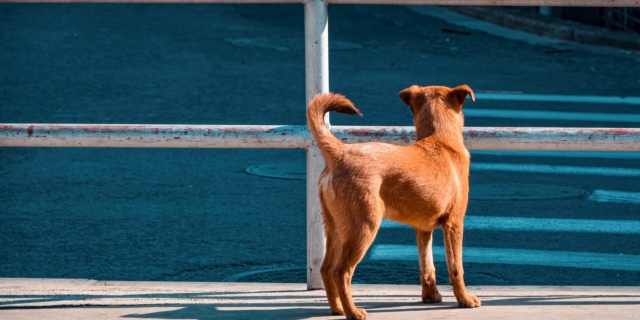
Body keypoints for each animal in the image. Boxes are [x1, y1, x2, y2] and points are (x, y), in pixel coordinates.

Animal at [306, 84, 480, 318]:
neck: (440, 139)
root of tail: (340, 152)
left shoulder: (423, 229)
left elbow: (427, 266)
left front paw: (430, 296)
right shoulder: (454, 223)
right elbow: (456, 267)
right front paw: (465, 300)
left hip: (336, 227)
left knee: (326, 268)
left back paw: (338, 309)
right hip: (364, 227)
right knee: (341, 271)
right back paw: (353, 311)